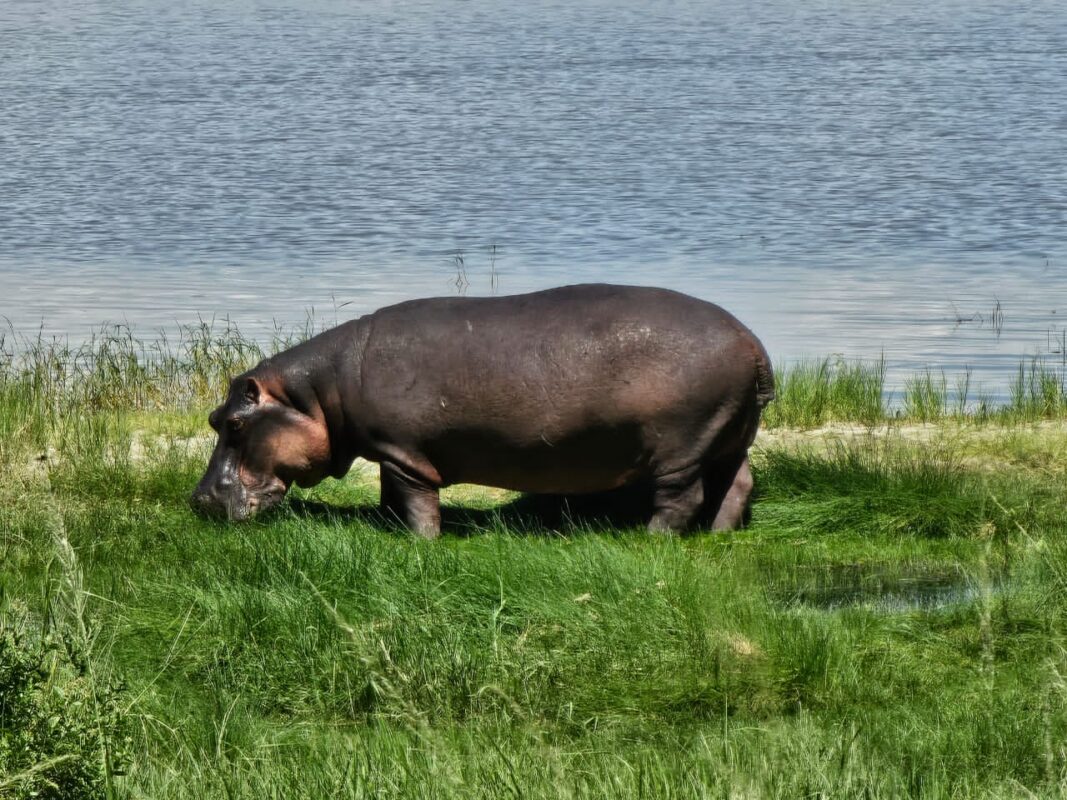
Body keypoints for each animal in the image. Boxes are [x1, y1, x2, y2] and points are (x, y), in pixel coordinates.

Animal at [191, 284, 774, 537]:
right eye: (213, 419)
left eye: (235, 422)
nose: (199, 500)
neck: (315, 395)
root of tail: (753, 344)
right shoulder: (389, 452)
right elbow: (388, 495)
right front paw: (385, 528)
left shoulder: (404, 453)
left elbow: (415, 501)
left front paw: (420, 544)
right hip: (728, 437)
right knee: (736, 485)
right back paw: (720, 536)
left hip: (681, 448)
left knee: (682, 498)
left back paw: (651, 540)